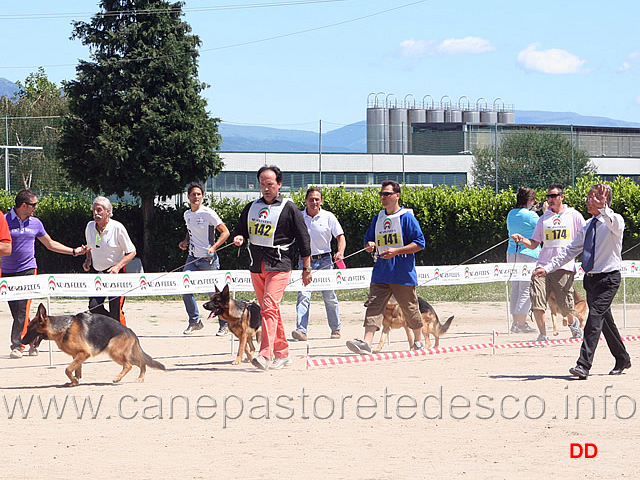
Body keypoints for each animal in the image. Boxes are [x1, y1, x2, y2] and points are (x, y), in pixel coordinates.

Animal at [21, 304, 165, 386]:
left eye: (29, 329)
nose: (21, 342)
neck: (64, 328)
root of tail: (130, 331)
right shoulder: (77, 355)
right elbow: (76, 370)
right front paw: (75, 382)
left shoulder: (84, 353)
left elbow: (67, 369)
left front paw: (74, 381)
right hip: (121, 354)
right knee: (141, 362)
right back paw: (140, 378)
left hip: (115, 353)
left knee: (129, 365)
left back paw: (118, 378)